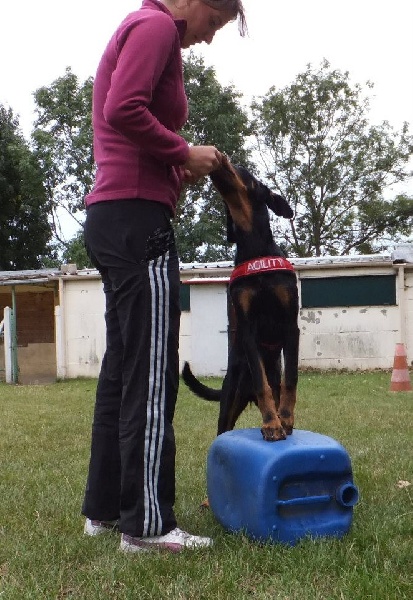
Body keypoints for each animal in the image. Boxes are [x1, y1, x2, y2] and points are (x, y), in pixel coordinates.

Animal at [182, 157, 298, 442]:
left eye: (245, 172)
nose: (221, 160)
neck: (254, 247)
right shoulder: (247, 328)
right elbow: (260, 381)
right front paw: (271, 424)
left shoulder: (290, 323)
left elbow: (290, 378)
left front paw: (285, 419)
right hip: (230, 399)